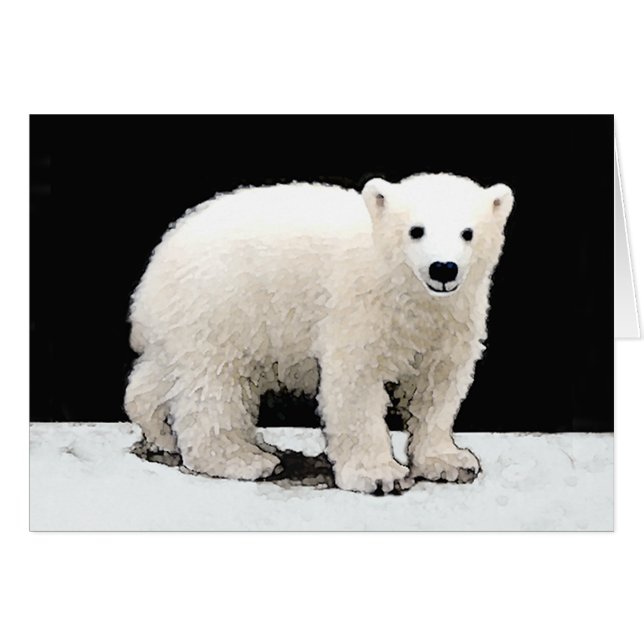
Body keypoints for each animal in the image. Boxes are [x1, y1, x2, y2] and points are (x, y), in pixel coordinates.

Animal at [125, 173, 514, 494]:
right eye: (416, 230)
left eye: (468, 232)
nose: (443, 268)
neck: (406, 290)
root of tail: (157, 262)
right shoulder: (359, 305)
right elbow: (356, 383)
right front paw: (379, 475)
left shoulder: (453, 320)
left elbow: (437, 387)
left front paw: (451, 461)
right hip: (220, 306)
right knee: (214, 386)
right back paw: (243, 459)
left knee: (162, 376)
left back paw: (164, 433)